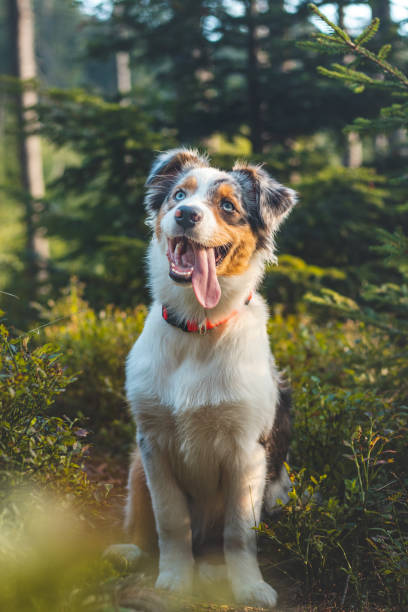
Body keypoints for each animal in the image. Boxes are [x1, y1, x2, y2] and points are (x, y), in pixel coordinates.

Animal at [124, 147, 296, 608]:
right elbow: (169, 521)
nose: (185, 215)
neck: (197, 328)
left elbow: (238, 533)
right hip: (134, 464)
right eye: (179, 195)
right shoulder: (153, 443)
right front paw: (172, 579)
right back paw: (127, 551)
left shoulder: (248, 452)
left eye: (228, 206)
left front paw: (249, 586)